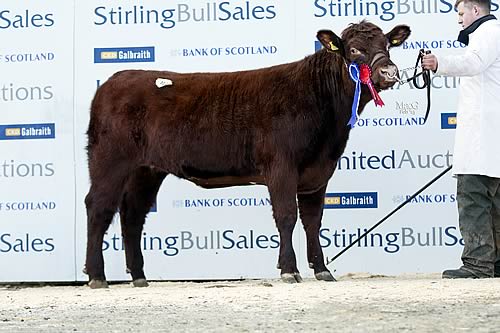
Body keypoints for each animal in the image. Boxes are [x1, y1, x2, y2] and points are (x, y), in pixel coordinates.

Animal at [85, 20, 410, 286]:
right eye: (354, 49)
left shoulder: (318, 172)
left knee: (133, 213)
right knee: (98, 207)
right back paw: (97, 276)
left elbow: (313, 220)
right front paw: (289, 270)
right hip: (110, 160)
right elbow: (287, 215)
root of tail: (114, 81)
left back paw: (139, 276)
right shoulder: (281, 166)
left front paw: (321, 269)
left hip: (147, 170)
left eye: (386, 46)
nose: (389, 72)